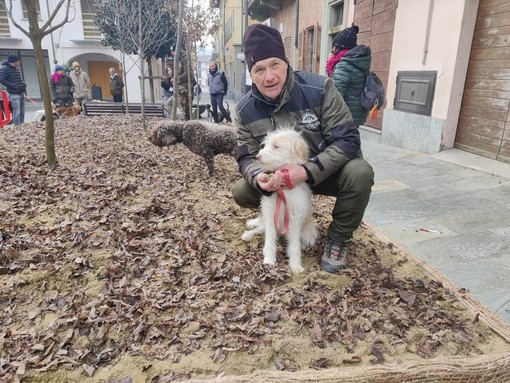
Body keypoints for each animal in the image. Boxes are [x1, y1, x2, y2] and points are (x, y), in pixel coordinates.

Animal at [241, 130, 316, 274]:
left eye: (276, 146)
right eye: (265, 145)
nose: (257, 156)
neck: (283, 190)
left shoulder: (295, 219)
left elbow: (294, 245)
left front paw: (295, 265)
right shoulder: (270, 215)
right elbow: (269, 240)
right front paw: (269, 260)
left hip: (309, 231)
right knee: (261, 229)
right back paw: (248, 234)